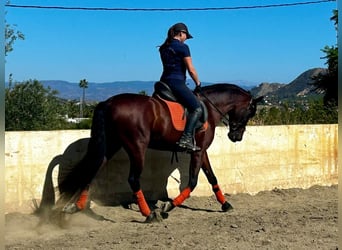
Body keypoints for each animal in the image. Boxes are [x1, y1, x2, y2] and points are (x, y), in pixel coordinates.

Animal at [38, 82, 262, 223]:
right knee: (132, 179)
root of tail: (108, 103)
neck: (208, 107)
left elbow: (212, 177)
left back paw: (75, 207)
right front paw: (168, 207)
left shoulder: (201, 151)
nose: (236, 136)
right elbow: (193, 182)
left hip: (111, 144)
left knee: (93, 168)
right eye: (250, 112)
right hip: (136, 146)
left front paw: (225, 204)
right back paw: (149, 215)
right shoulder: (197, 153)